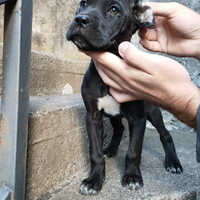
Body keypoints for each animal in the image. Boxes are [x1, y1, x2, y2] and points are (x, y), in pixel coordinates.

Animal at [67, 0, 183, 195]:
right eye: (83, 3)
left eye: (114, 10)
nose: (80, 19)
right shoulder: (93, 116)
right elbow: (95, 152)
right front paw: (94, 180)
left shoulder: (138, 118)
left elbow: (133, 151)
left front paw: (132, 177)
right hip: (114, 114)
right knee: (119, 129)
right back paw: (111, 149)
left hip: (152, 111)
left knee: (165, 134)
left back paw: (173, 162)